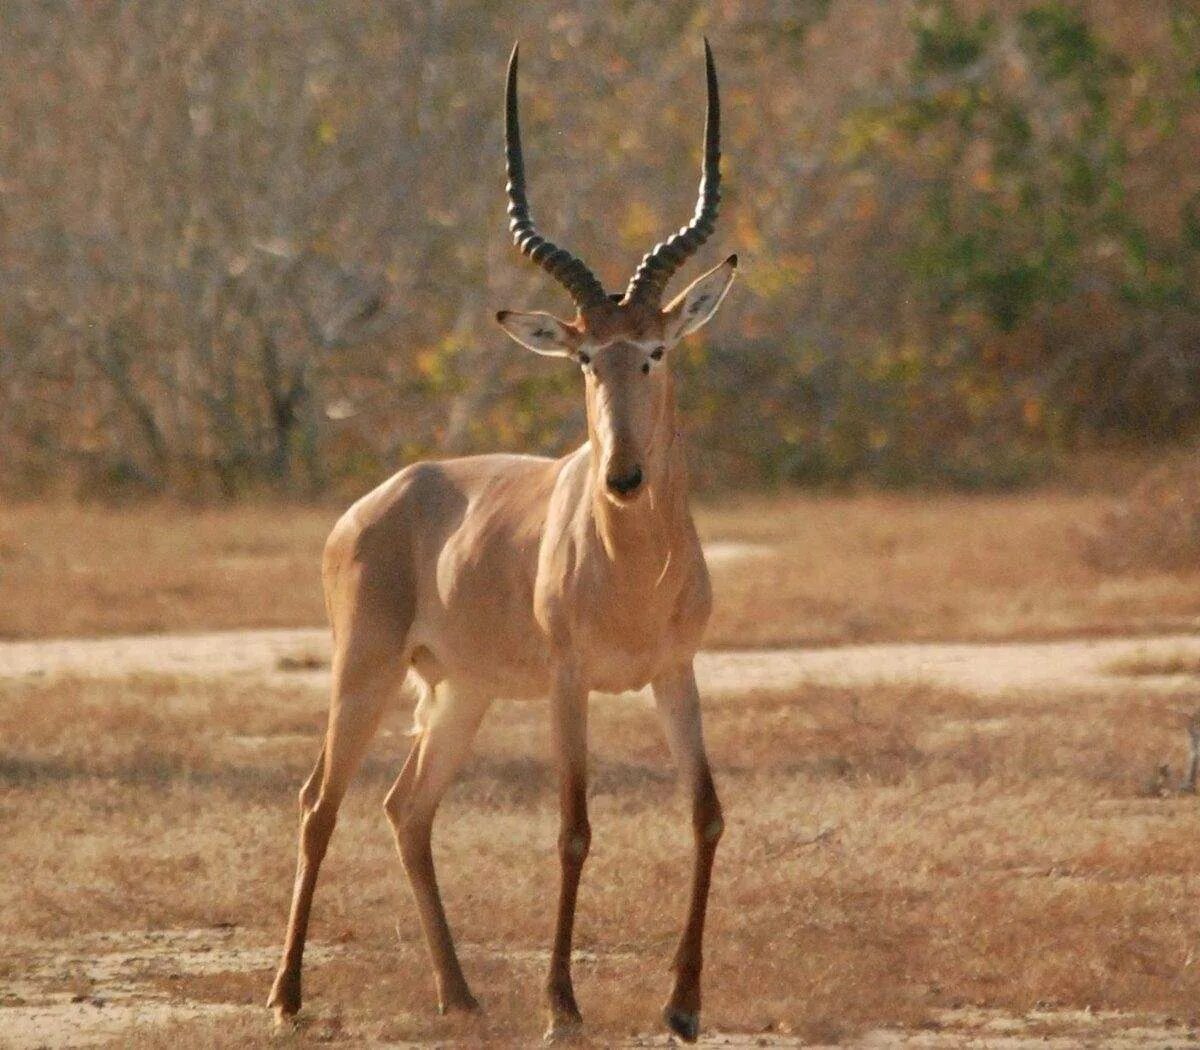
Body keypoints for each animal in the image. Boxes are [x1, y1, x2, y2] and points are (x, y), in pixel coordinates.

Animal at [272, 34, 734, 1041]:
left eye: (656, 350)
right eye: (583, 357)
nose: (623, 476)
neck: (633, 571)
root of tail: (381, 499)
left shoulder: (674, 672)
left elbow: (706, 813)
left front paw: (683, 1005)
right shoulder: (569, 680)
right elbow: (573, 829)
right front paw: (562, 1005)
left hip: (463, 691)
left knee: (407, 807)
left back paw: (460, 994)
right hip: (364, 670)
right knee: (320, 802)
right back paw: (285, 997)